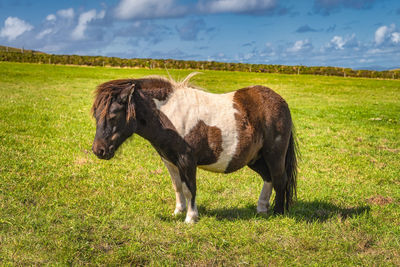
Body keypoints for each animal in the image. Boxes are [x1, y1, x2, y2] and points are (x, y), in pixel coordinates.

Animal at [90, 74, 296, 224]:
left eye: (113, 115)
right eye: (96, 115)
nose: (99, 150)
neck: (167, 115)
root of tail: (280, 101)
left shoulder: (186, 159)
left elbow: (189, 188)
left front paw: (190, 217)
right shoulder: (169, 160)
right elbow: (177, 186)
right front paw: (178, 212)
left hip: (274, 155)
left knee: (280, 179)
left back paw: (278, 212)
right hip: (255, 158)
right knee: (268, 178)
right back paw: (262, 208)